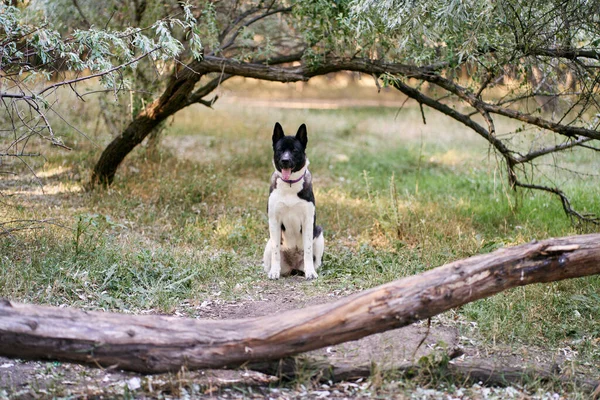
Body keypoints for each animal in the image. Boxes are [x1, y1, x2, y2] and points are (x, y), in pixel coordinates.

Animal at [262, 123, 326, 280]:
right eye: (280, 150)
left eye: (295, 151)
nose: (285, 161)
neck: (289, 185)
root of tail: (293, 267)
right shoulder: (274, 221)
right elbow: (276, 252)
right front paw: (274, 272)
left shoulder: (308, 221)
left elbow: (308, 250)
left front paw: (310, 273)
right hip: (268, 243)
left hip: (319, 233)